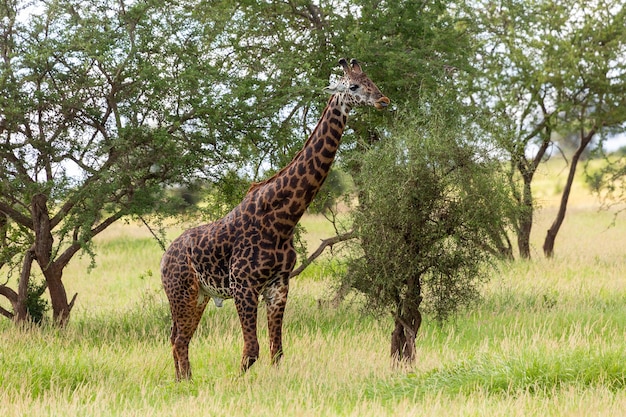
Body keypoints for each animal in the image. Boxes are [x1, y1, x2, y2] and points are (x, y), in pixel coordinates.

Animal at [161, 57, 386, 378]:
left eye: (372, 81)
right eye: (354, 86)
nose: (383, 100)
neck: (283, 219)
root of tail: (165, 257)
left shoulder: (279, 286)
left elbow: (276, 350)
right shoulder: (244, 287)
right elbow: (251, 351)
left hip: (200, 295)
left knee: (179, 338)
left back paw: (184, 382)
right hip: (181, 292)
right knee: (179, 339)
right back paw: (185, 383)